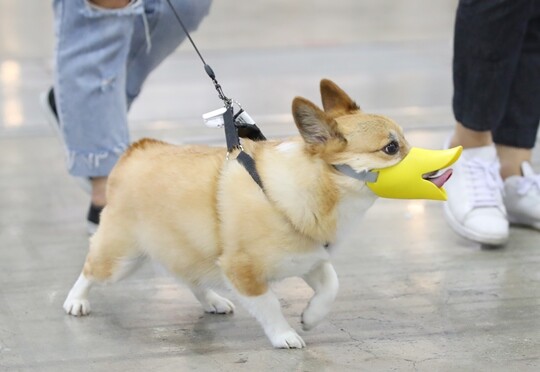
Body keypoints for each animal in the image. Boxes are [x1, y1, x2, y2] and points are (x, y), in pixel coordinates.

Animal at [62, 79, 452, 348]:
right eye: (391, 148)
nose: (440, 167)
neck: (317, 188)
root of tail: (136, 151)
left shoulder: (308, 259)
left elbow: (331, 285)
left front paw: (311, 317)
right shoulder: (243, 271)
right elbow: (269, 304)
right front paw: (285, 335)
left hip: (191, 252)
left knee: (191, 278)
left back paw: (213, 300)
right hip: (121, 258)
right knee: (91, 270)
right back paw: (75, 302)